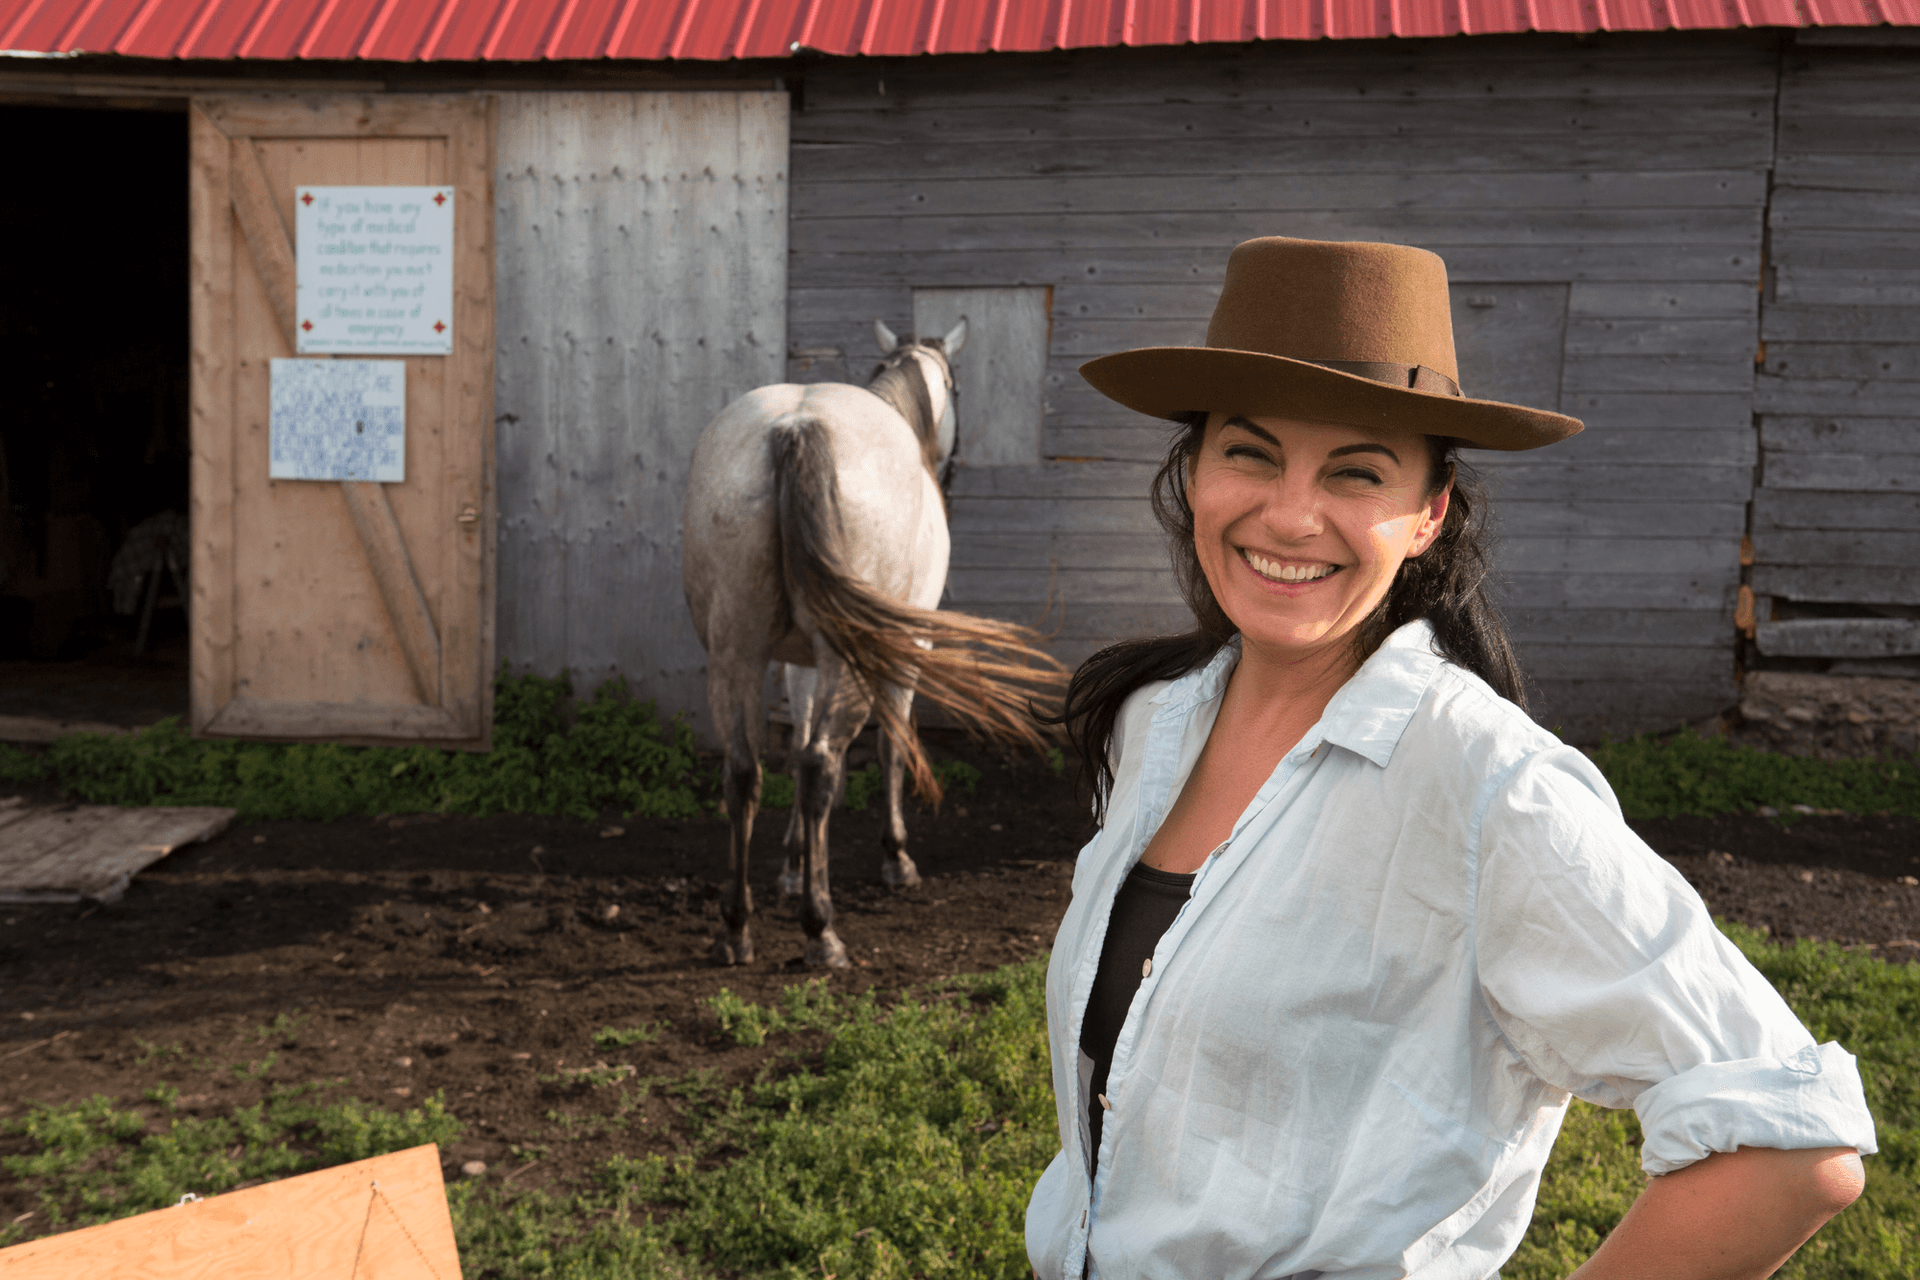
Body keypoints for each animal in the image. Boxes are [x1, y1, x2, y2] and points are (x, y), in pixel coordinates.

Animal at [679, 320, 1067, 971]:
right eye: (956, 387)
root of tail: (795, 428)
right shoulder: (907, 643)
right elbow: (891, 744)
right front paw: (895, 857)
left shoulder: (799, 662)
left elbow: (794, 744)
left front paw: (792, 867)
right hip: (845, 658)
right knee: (820, 766)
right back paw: (821, 930)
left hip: (737, 652)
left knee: (745, 771)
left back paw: (736, 925)